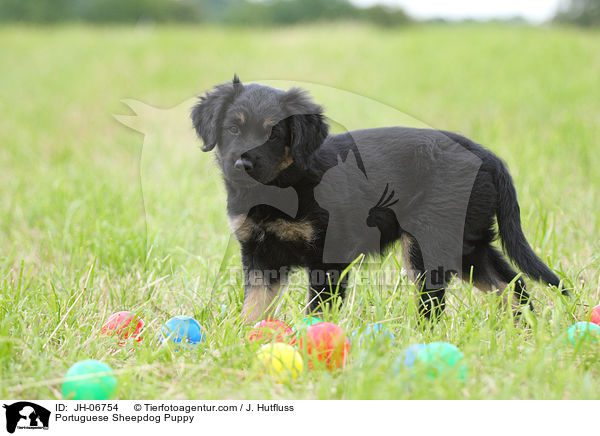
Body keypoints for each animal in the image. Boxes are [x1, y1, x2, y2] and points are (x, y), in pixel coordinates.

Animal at [191, 76, 564, 324]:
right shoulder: (259, 255)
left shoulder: (327, 258)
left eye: (275, 134)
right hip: (467, 243)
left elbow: (318, 308)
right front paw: (245, 338)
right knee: (511, 284)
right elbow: (254, 305)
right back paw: (524, 332)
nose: (241, 164)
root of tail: (487, 156)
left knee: (436, 302)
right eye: (233, 129)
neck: (284, 185)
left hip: (430, 244)